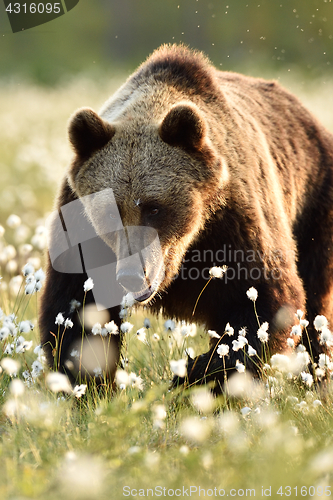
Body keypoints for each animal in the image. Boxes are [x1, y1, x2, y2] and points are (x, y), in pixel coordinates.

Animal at [39, 44, 333, 390]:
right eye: (109, 213)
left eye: (153, 208)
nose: (131, 274)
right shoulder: (79, 226)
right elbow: (74, 309)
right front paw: (89, 384)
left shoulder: (233, 222)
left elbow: (264, 300)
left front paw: (195, 373)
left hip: (313, 206)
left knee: (315, 303)